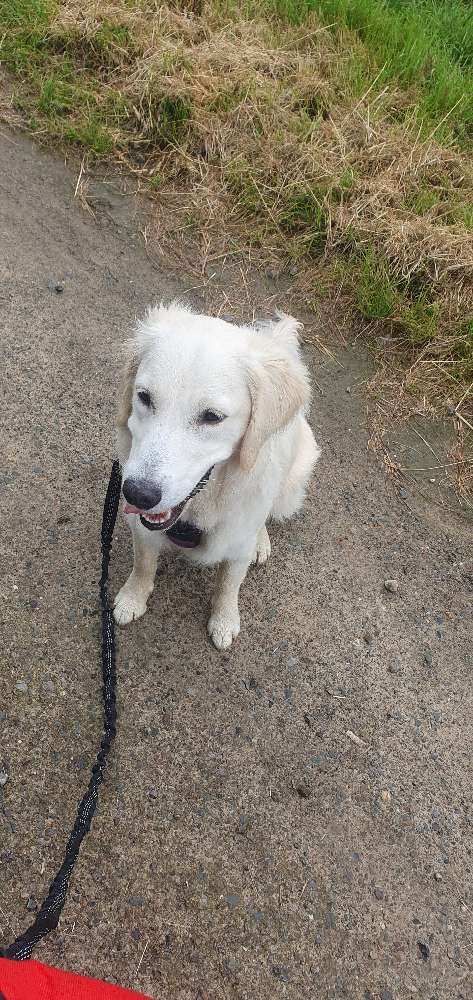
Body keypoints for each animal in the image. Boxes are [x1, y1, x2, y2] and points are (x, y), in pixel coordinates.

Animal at [114, 300, 318, 652]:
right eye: (144, 397)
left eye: (212, 417)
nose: (138, 493)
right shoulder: (142, 529)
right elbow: (143, 564)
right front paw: (132, 598)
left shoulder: (236, 548)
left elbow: (228, 586)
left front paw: (224, 621)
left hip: (289, 489)